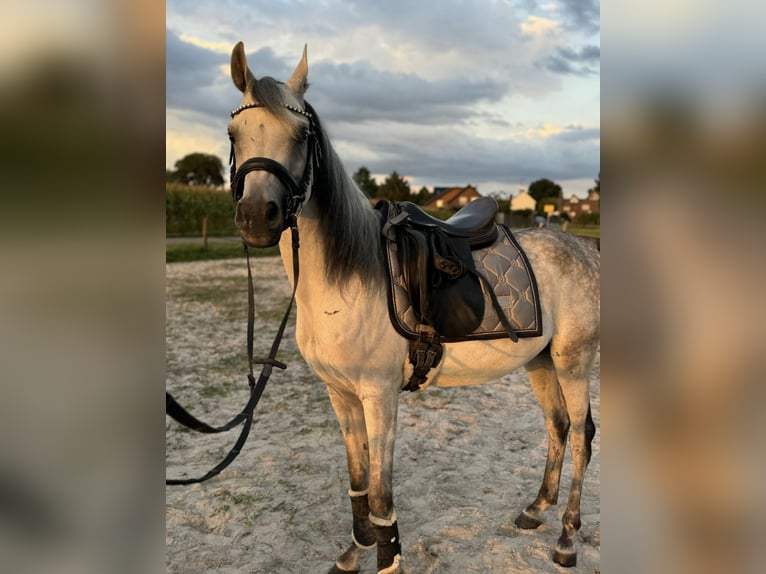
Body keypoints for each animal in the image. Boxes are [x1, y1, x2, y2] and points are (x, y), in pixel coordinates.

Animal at [226, 41, 599, 574]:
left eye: (302, 134)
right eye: (234, 134)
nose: (258, 217)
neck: (344, 281)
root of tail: (584, 248)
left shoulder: (379, 396)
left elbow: (382, 493)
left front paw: (388, 560)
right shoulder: (340, 394)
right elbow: (358, 480)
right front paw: (354, 551)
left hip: (573, 361)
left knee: (584, 435)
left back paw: (567, 538)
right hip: (540, 361)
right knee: (559, 426)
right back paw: (535, 510)